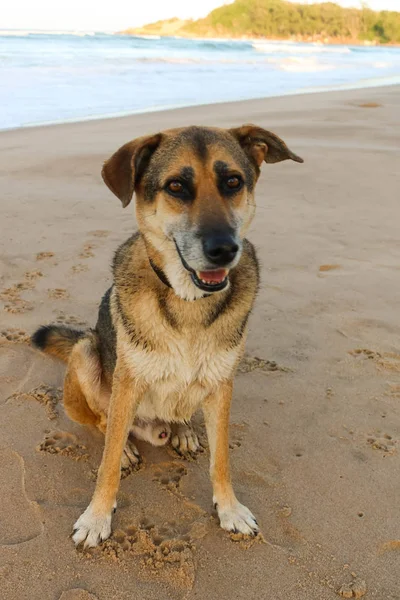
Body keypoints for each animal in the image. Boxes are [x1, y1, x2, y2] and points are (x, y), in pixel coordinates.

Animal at [32, 124, 304, 548]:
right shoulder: (127, 384)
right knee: (103, 423)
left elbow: (221, 459)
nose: (225, 249)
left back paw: (183, 430)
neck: (187, 301)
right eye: (176, 186)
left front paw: (229, 509)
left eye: (233, 182)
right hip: (85, 352)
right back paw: (128, 445)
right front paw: (97, 517)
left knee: (179, 413)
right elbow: (107, 462)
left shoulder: (222, 385)